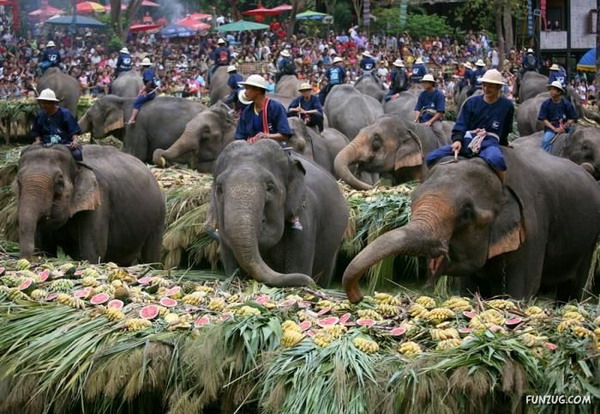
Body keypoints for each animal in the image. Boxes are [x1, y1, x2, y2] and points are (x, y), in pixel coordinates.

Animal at [17, 144, 165, 264]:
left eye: (59, 183)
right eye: (18, 182)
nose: (31, 259)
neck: (78, 164)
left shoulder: (99, 201)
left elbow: (92, 254)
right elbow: (45, 248)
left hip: (158, 219)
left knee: (151, 256)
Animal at [342, 144, 600, 302]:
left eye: (466, 213)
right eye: (413, 200)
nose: (359, 297)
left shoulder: (534, 228)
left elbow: (521, 292)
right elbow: (468, 288)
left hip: (588, 242)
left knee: (573, 287)